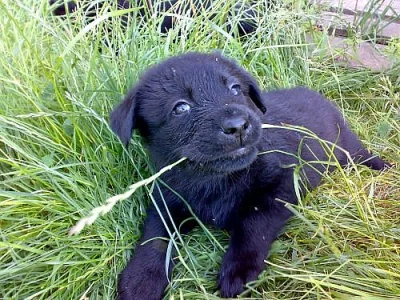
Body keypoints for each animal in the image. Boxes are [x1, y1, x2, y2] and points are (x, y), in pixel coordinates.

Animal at [110, 52, 390, 298]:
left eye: (235, 89)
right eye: (180, 108)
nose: (238, 126)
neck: (214, 179)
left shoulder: (281, 185)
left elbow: (253, 223)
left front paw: (239, 270)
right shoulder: (166, 196)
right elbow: (156, 235)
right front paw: (141, 279)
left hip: (345, 146)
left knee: (361, 154)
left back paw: (383, 166)